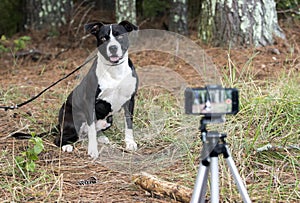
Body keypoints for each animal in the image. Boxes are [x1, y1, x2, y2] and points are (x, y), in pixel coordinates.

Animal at [54, 21, 138, 159]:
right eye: (103, 38)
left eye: (120, 36)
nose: (113, 48)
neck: (114, 70)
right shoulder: (90, 101)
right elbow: (92, 128)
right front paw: (93, 150)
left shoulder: (130, 100)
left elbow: (129, 123)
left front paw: (130, 142)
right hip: (73, 120)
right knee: (60, 138)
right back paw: (66, 146)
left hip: (109, 120)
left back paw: (101, 138)